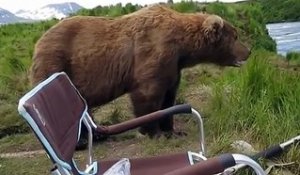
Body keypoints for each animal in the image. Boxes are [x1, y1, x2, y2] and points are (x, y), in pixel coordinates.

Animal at [29, 4, 251, 148]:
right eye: (235, 36)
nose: (248, 51)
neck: (182, 47)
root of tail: (39, 41)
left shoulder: (173, 67)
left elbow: (169, 98)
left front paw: (173, 131)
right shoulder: (152, 54)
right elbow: (148, 96)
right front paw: (154, 133)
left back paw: (97, 135)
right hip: (57, 63)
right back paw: (82, 140)